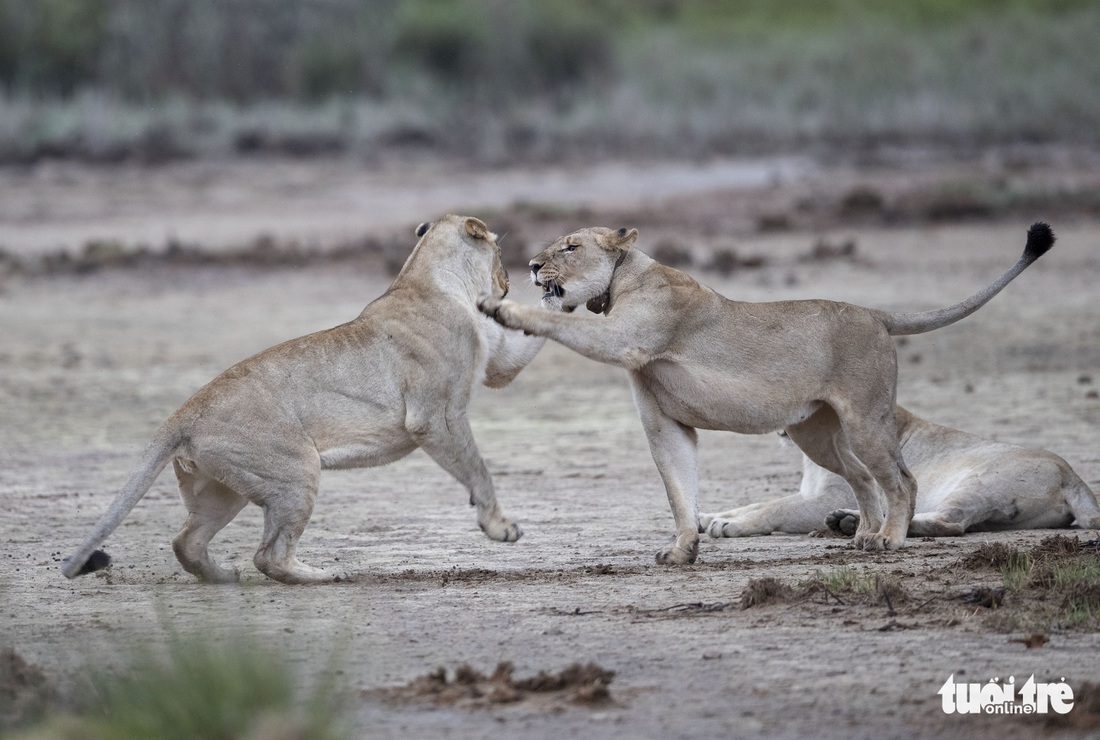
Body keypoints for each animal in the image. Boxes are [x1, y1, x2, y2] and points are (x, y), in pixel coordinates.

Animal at [64, 213, 554, 584]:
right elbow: (477, 467)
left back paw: (222, 577)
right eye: (499, 251)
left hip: (224, 489)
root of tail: (181, 414)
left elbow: (529, 339)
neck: (429, 279)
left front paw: (556, 294)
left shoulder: (498, 363)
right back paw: (324, 575)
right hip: (295, 470)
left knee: (186, 541)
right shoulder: (436, 416)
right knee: (268, 556)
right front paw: (499, 527)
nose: (508, 282)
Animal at [479, 222, 1056, 562]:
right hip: (819, 433)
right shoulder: (666, 424)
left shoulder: (626, 337)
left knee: (902, 479)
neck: (626, 277)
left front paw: (503, 310)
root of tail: (876, 313)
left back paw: (889, 539)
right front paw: (683, 549)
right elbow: (679, 490)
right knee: (864, 479)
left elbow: (562, 323)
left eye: (570, 247)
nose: (531, 266)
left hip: (866, 419)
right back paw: (863, 535)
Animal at [699, 404, 1100, 536]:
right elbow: (759, 502)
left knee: (949, 522)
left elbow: (774, 509)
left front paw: (729, 526)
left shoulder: (827, 496)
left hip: (976, 481)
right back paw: (846, 522)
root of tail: (1073, 476)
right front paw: (709, 517)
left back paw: (859, 526)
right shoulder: (810, 494)